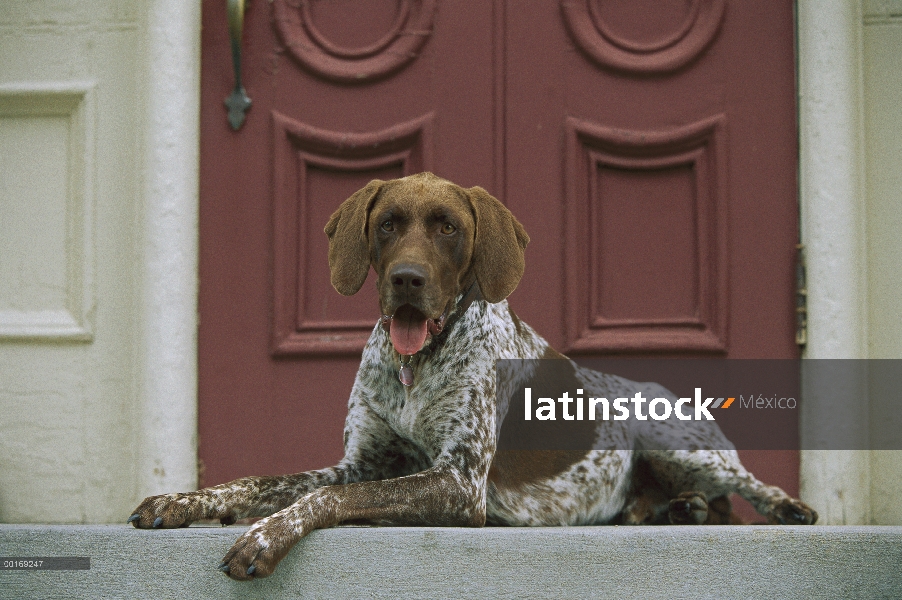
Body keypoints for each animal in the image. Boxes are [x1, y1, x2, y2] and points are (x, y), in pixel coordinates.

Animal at [129, 172, 820, 576]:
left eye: (448, 228)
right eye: (387, 224)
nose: (407, 280)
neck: (414, 366)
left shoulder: (459, 484)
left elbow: (326, 500)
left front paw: (265, 536)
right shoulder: (362, 462)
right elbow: (263, 482)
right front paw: (183, 502)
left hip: (677, 439)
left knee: (747, 493)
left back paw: (783, 510)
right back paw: (671, 511)